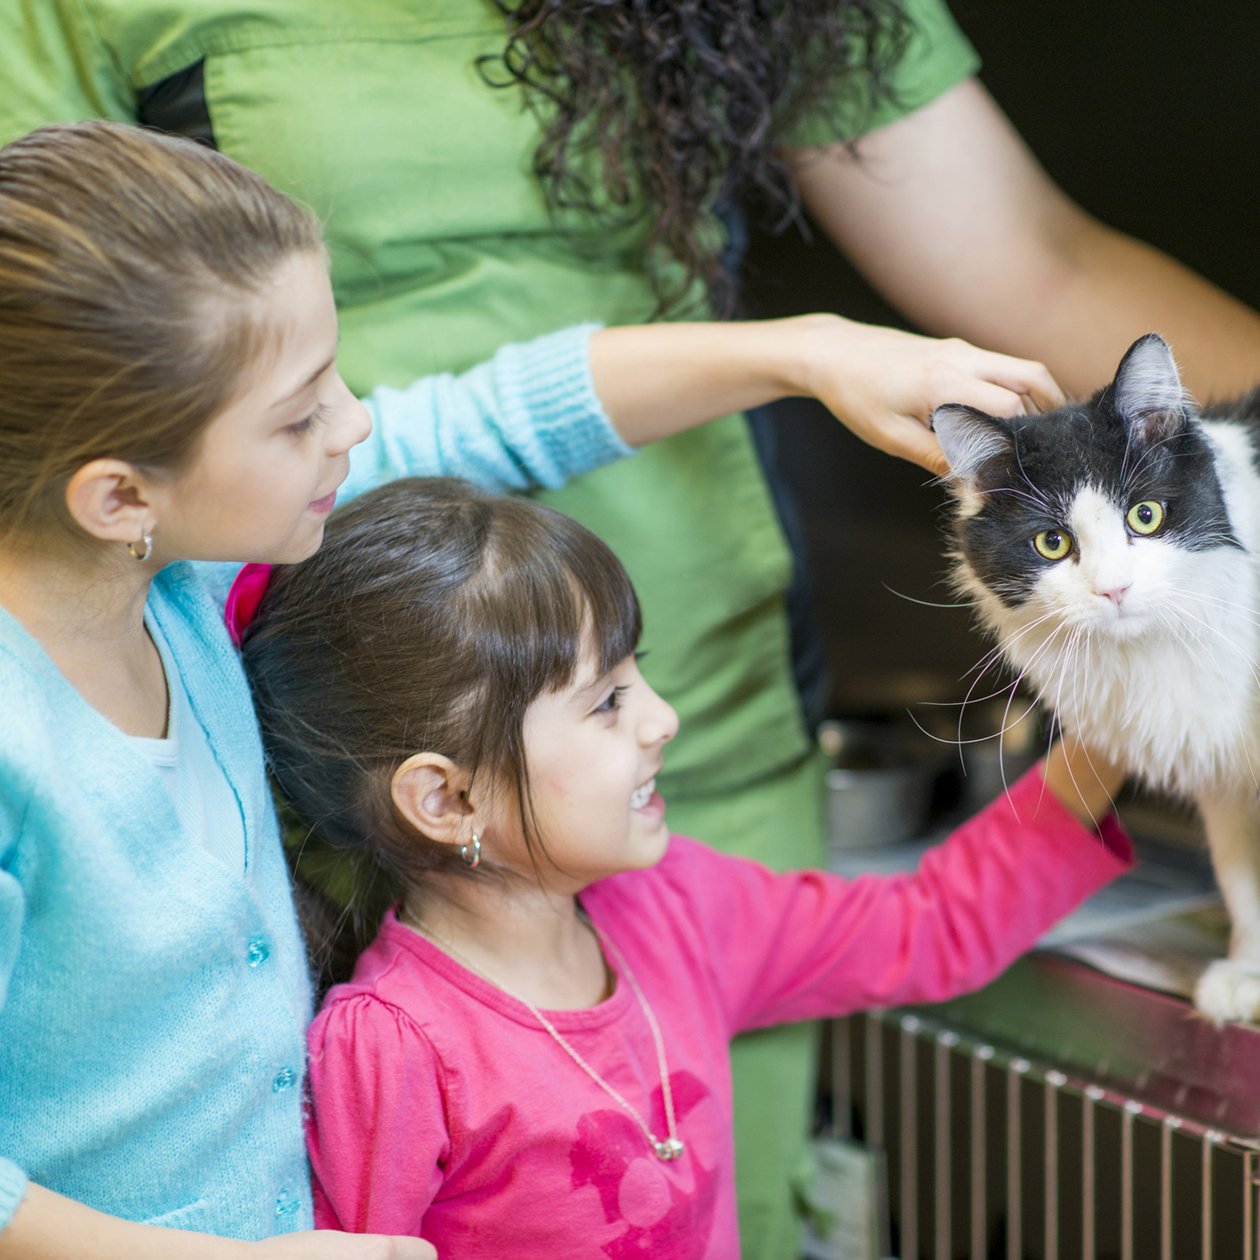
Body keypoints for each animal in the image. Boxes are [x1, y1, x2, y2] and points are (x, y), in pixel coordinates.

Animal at [932, 335, 1260, 1023]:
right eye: (1052, 544)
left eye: (1146, 515)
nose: (1115, 589)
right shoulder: (1221, 769)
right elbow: (1244, 880)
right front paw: (1248, 972)